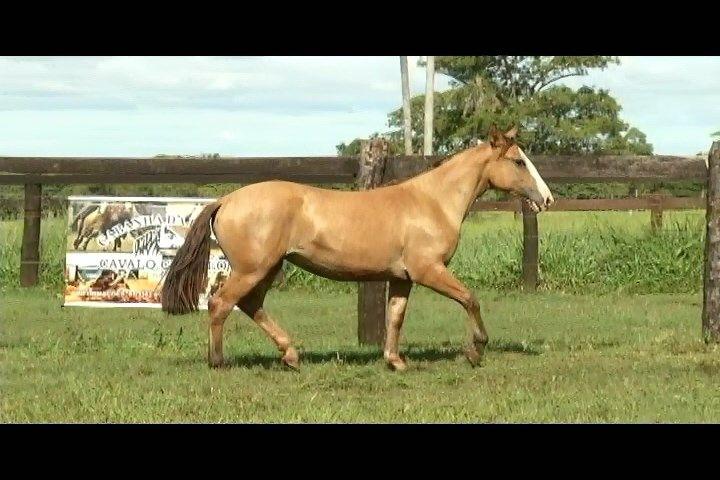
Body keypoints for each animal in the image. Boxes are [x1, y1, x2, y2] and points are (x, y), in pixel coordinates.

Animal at [163, 127, 556, 372]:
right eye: (519, 161)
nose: (547, 199)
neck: (432, 201)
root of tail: (226, 199)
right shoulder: (429, 270)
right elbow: (470, 299)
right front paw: (475, 350)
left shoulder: (403, 278)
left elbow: (395, 316)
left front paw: (395, 361)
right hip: (253, 269)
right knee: (220, 304)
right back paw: (219, 362)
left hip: (267, 268)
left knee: (249, 305)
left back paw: (290, 355)